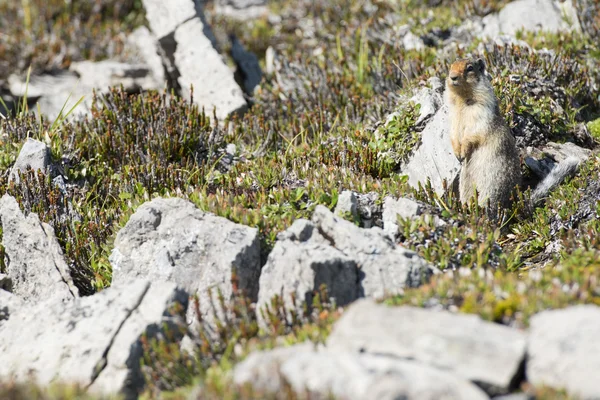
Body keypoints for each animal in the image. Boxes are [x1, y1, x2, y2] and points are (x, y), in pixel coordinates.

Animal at [442, 57, 580, 212]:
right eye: (450, 67)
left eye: (470, 68)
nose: (452, 76)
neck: (462, 100)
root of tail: (518, 206)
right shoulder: (453, 116)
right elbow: (453, 133)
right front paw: (457, 152)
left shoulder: (481, 113)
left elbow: (474, 132)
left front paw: (464, 150)